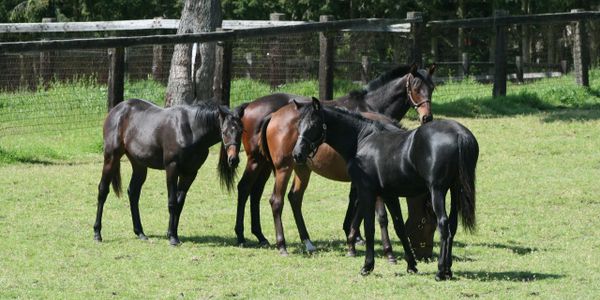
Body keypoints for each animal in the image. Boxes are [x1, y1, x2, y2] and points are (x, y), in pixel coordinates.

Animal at [94, 99, 244, 245]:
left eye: (241, 132)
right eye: (224, 132)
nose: (233, 160)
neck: (191, 130)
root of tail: (116, 110)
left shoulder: (190, 173)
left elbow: (179, 204)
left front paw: (172, 233)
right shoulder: (172, 168)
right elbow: (172, 202)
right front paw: (172, 238)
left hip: (139, 165)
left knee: (133, 193)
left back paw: (140, 232)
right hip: (111, 158)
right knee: (103, 191)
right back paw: (97, 233)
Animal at [234, 63, 436, 255]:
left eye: (432, 87)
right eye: (416, 88)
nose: (427, 117)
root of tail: (272, 115)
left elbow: (357, 202)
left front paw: (354, 236)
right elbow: (359, 203)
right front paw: (355, 236)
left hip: (290, 167)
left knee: (280, 195)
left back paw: (288, 239)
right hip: (272, 165)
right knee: (260, 194)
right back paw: (263, 240)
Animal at [290, 99, 478, 282]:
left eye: (314, 124)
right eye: (299, 125)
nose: (297, 154)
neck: (362, 138)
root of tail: (459, 134)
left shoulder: (367, 192)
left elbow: (369, 227)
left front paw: (367, 266)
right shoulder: (389, 195)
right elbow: (399, 227)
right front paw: (411, 265)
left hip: (437, 191)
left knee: (444, 225)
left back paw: (440, 271)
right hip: (455, 190)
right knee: (452, 225)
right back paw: (448, 270)